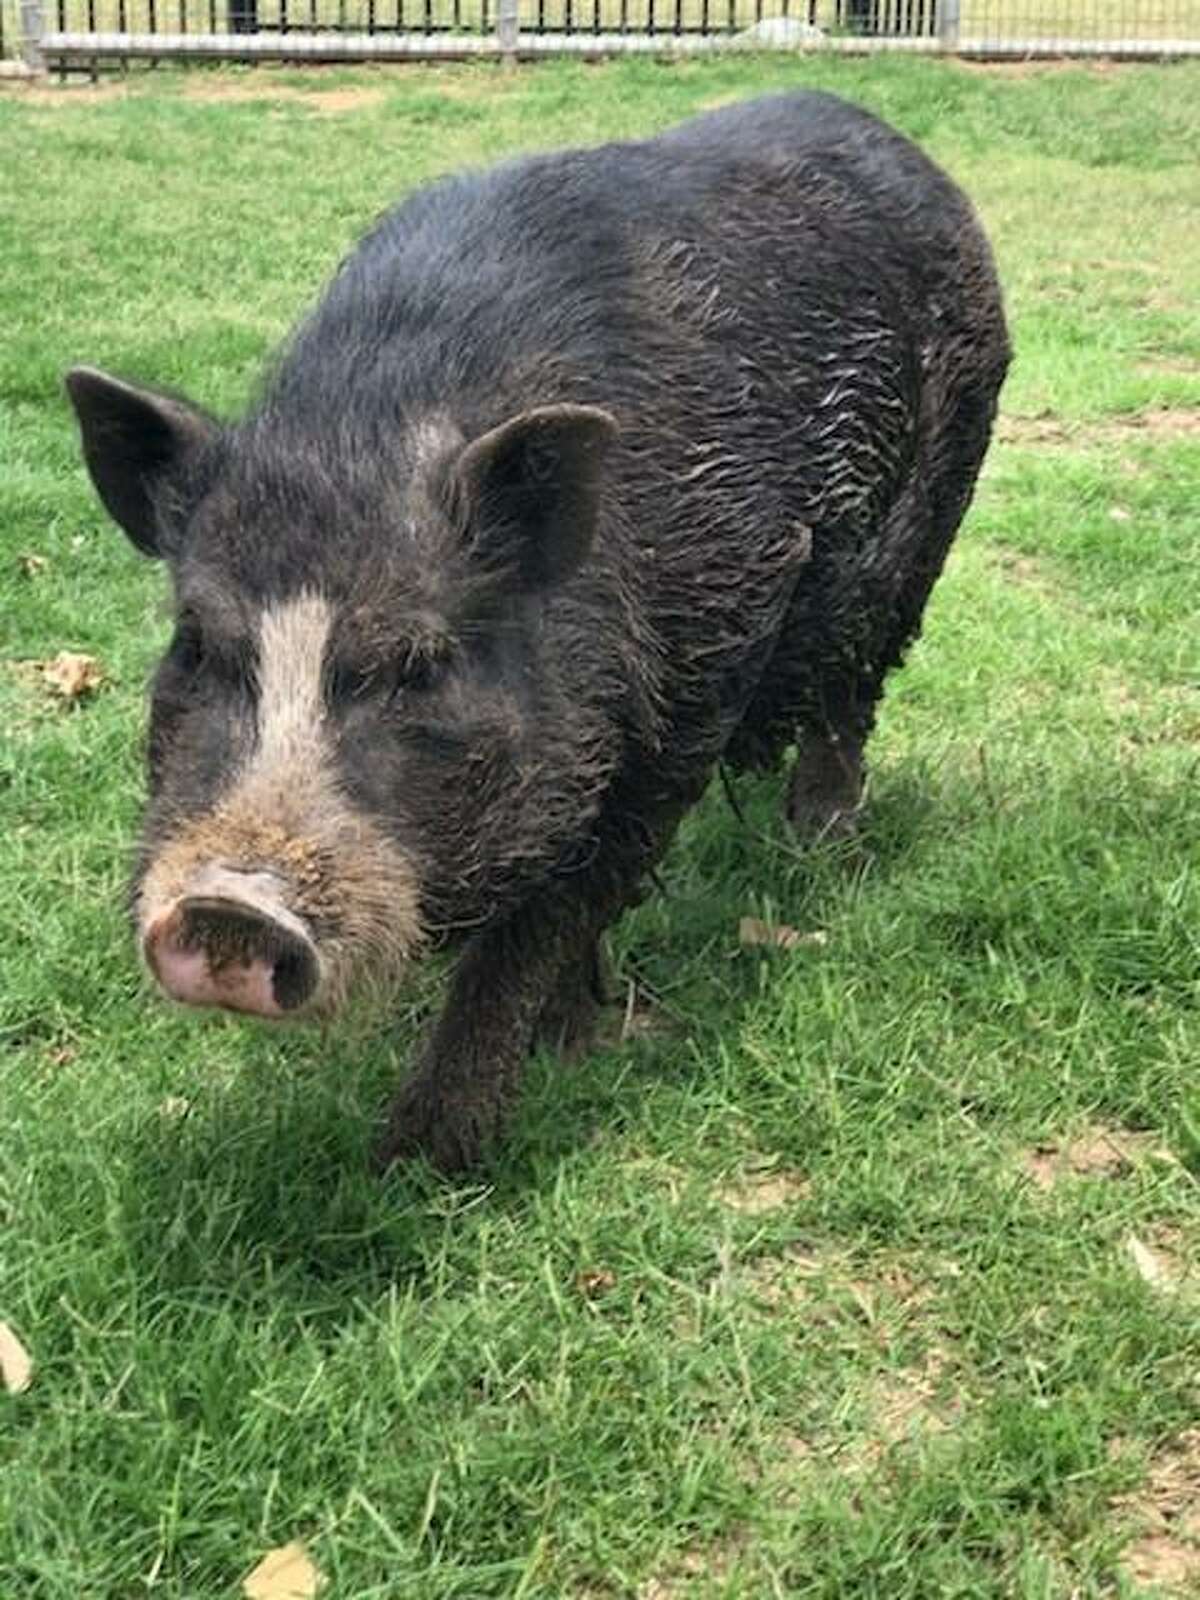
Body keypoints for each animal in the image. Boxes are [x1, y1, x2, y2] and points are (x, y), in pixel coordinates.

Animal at [63, 93, 1004, 1177]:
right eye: (197, 644)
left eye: (422, 662)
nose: (229, 905)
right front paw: (560, 1045)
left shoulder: (704, 671)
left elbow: (553, 912)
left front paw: (421, 1161)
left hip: (936, 517)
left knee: (856, 683)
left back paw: (816, 845)